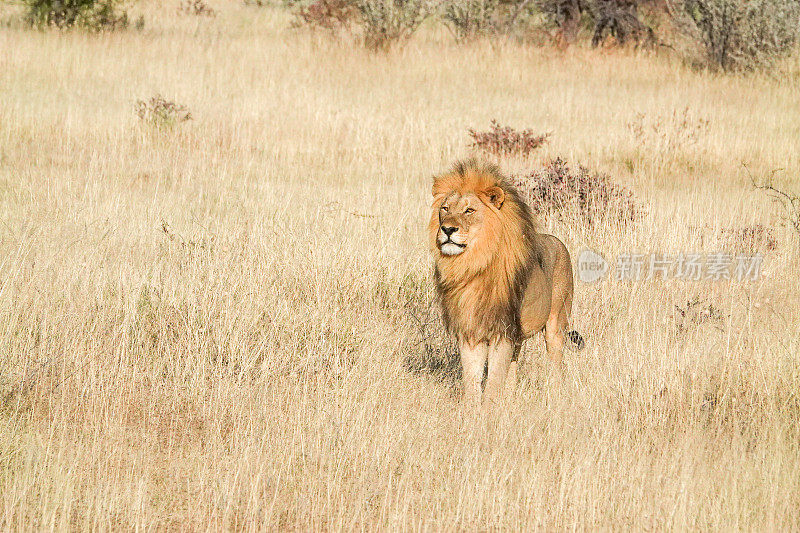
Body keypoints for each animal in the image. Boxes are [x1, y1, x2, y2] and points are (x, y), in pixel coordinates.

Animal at [432, 158, 580, 408]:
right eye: (445, 209)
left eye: (469, 210)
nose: (448, 229)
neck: (472, 266)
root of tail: (557, 241)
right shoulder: (471, 331)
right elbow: (472, 379)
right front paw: (471, 412)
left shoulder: (503, 331)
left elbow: (493, 381)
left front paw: (489, 413)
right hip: (519, 336)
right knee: (514, 366)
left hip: (556, 325)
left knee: (556, 366)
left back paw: (556, 399)